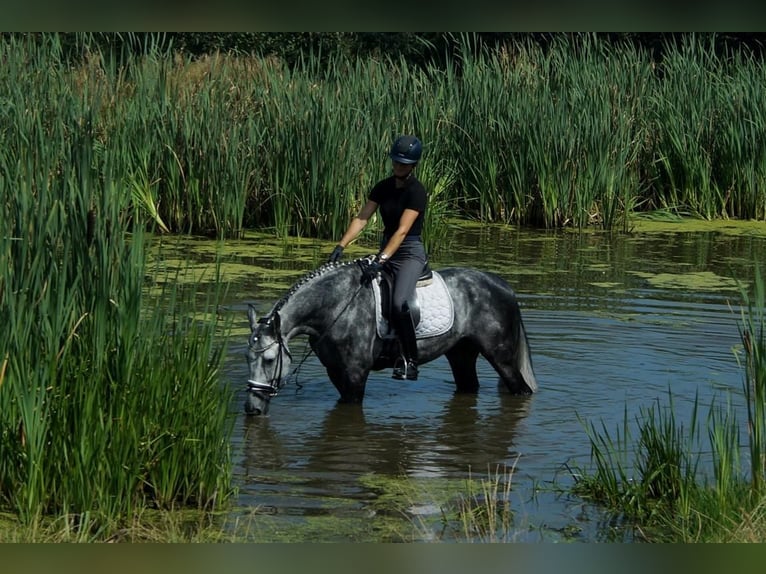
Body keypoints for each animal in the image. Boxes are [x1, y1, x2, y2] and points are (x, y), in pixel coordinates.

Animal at [246, 258, 540, 416]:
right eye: (248, 359)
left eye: (270, 359)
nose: (252, 410)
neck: (336, 306)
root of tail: (505, 287)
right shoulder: (336, 372)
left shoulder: (355, 374)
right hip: (461, 354)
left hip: (501, 357)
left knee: (522, 389)